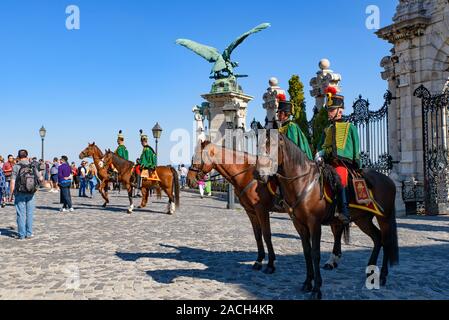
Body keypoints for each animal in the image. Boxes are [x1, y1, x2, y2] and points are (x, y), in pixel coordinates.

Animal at [256, 133, 400, 300]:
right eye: (258, 145)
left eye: (272, 146)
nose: (258, 174)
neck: (302, 181)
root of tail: (388, 180)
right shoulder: (299, 224)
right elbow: (306, 252)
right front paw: (307, 283)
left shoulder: (314, 223)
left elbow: (315, 253)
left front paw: (317, 289)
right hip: (362, 219)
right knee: (377, 238)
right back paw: (371, 272)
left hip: (384, 218)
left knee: (386, 241)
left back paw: (382, 276)